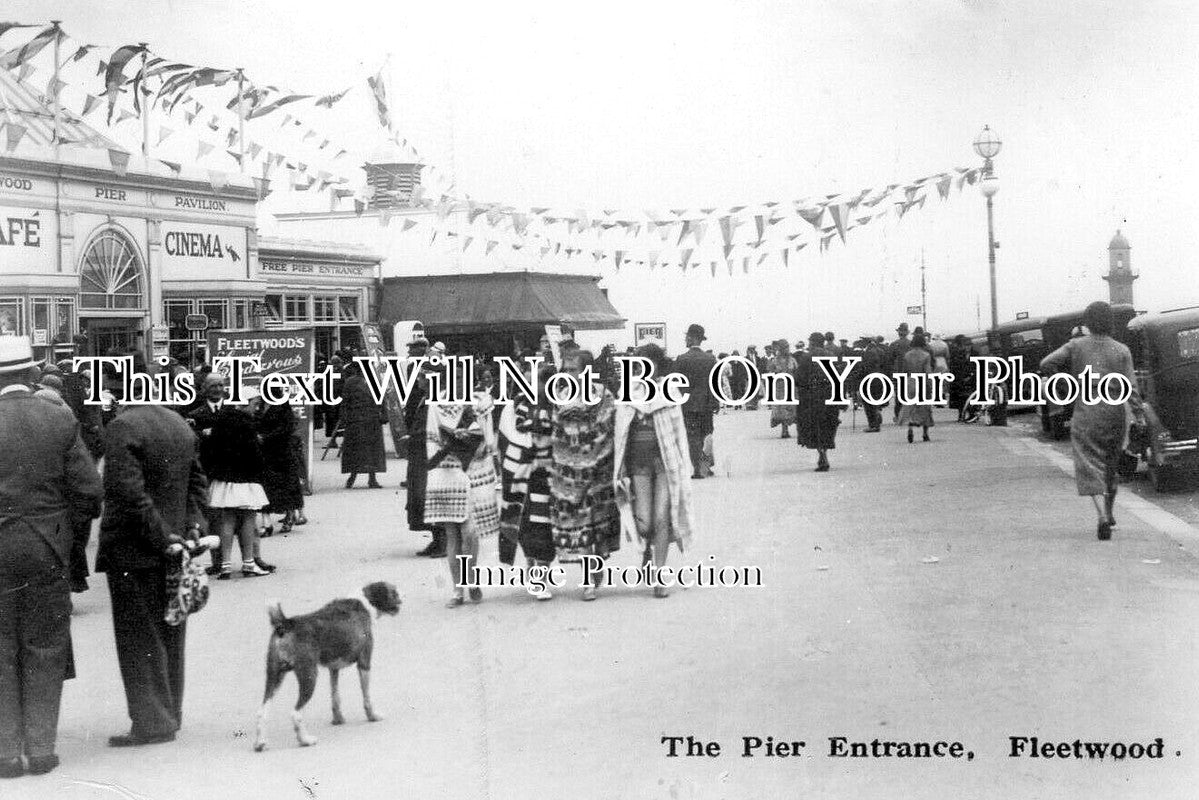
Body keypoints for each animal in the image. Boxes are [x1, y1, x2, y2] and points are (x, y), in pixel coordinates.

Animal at [252, 582, 402, 753]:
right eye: (394, 593)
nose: (401, 602)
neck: (364, 601)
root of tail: (285, 623)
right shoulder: (364, 663)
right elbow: (367, 697)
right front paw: (373, 716)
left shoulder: (333, 669)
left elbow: (335, 697)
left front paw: (338, 719)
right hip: (309, 676)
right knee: (296, 713)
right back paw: (306, 740)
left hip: (274, 676)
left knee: (262, 711)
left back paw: (260, 743)